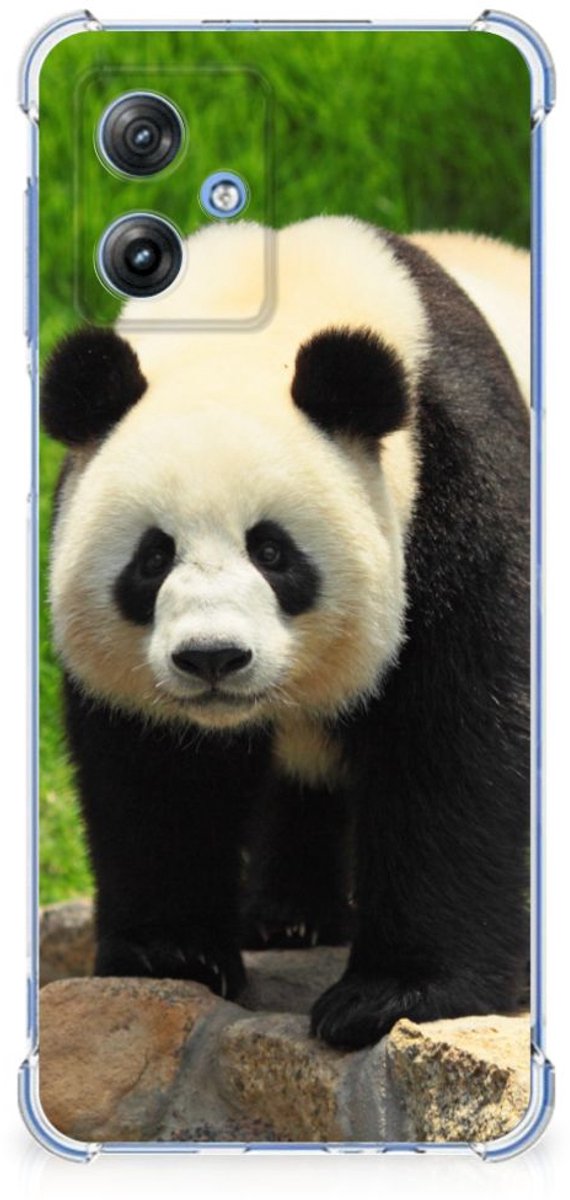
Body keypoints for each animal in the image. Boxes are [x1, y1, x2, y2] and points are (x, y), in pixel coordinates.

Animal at [41, 217, 530, 1050]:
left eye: (272, 551)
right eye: (152, 557)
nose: (212, 658)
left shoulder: (459, 482)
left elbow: (459, 737)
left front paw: (392, 994)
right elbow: (153, 768)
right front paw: (173, 954)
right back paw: (290, 917)